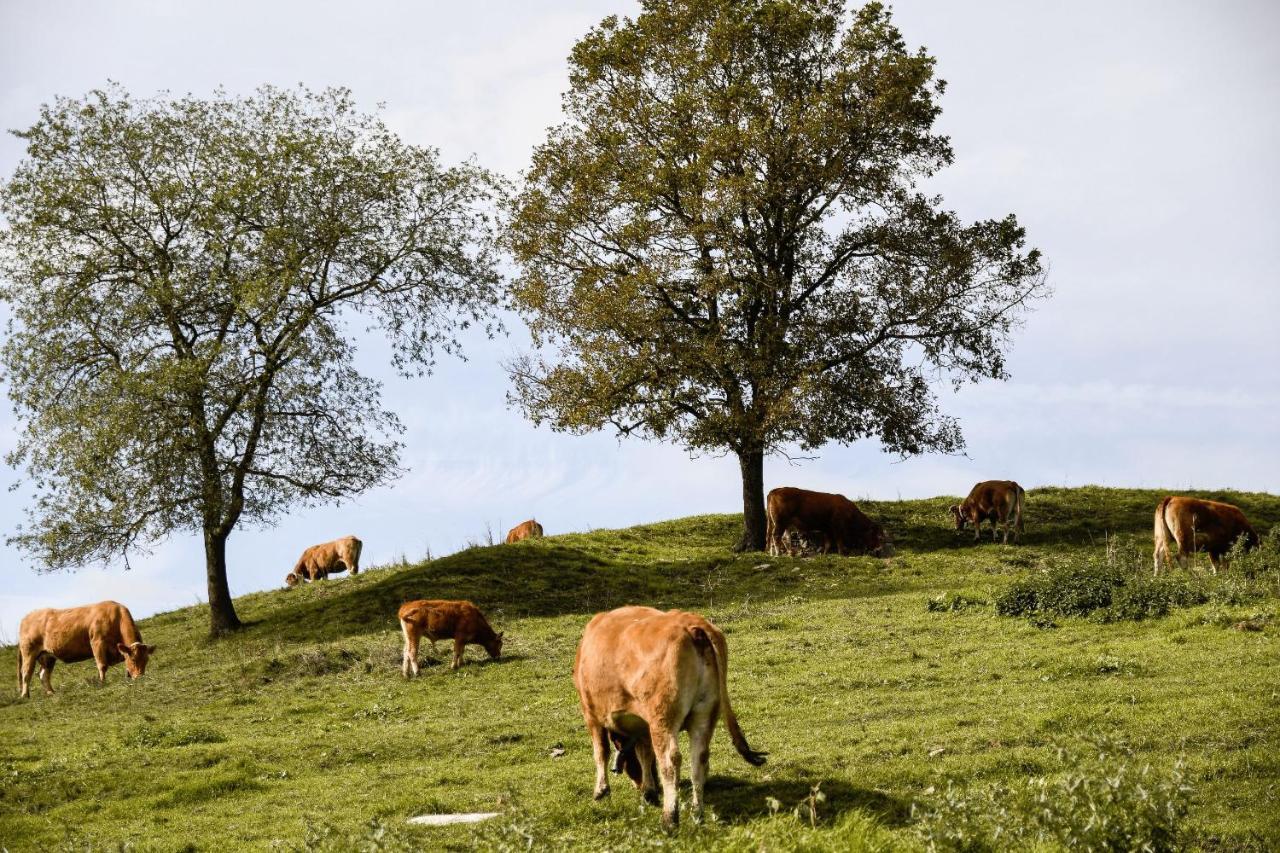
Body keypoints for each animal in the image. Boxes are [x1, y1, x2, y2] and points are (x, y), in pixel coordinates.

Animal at [16, 596, 155, 696]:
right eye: (134, 659)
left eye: (146, 660)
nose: (140, 677)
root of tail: (28, 616)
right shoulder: (97, 643)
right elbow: (102, 665)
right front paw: (102, 683)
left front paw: (128, 677)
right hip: (28, 652)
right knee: (26, 672)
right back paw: (25, 695)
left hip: (48, 656)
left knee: (43, 675)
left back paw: (51, 693)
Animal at [576, 601, 762, 824]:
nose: (638, 784)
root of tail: (694, 625)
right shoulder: (643, 723)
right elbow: (645, 753)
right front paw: (649, 791)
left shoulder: (591, 714)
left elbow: (601, 751)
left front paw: (601, 790)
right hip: (704, 714)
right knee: (699, 758)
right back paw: (696, 812)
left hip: (663, 718)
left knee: (670, 760)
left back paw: (669, 818)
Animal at [762, 484, 896, 558]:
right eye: (880, 537)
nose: (879, 550)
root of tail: (775, 490)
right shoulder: (837, 527)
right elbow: (839, 540)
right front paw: (842, 553)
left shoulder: (827, 528)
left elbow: (828, 542)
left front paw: (825, 554)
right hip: (780, 521)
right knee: (776, 536)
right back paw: (778, 553)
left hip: (784, 523)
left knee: (783, 537)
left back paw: (786, 553)